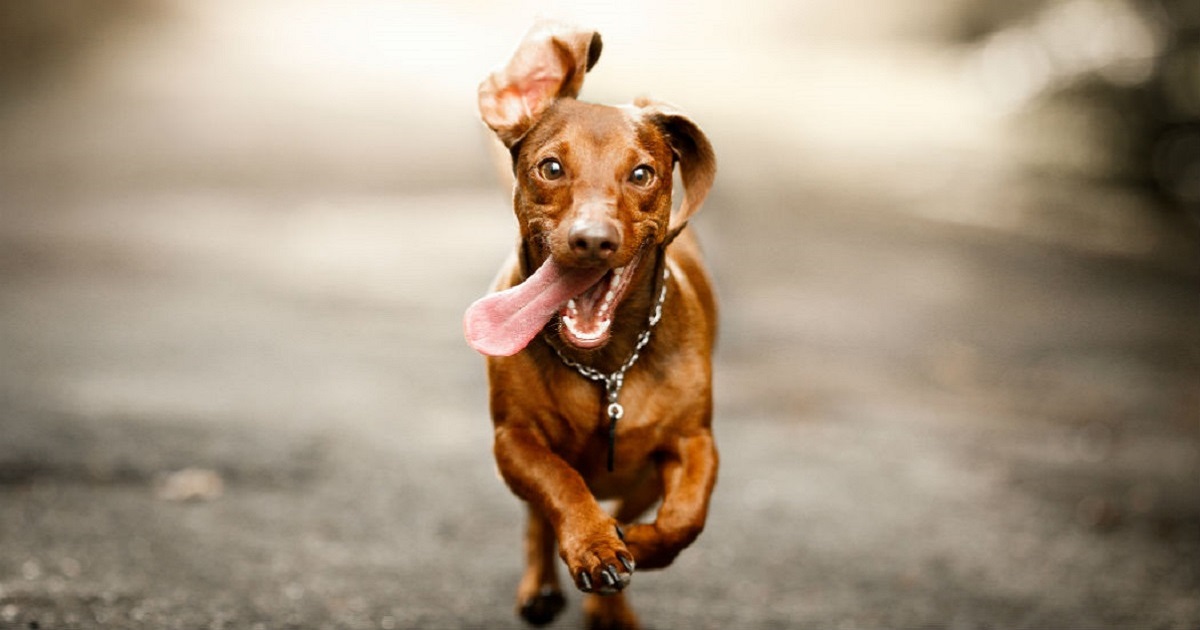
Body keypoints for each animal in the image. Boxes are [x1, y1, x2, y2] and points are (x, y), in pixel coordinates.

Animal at [463, 20, 715, 628]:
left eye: (642, 173)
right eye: (551, 167)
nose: (593, 240)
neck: (606, 366)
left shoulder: (693, 441)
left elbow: (684, 520)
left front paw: (633, 543)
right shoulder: (513, 440)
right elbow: (561, 484)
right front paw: (595, 544)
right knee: (538, 515)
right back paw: (541, 585)